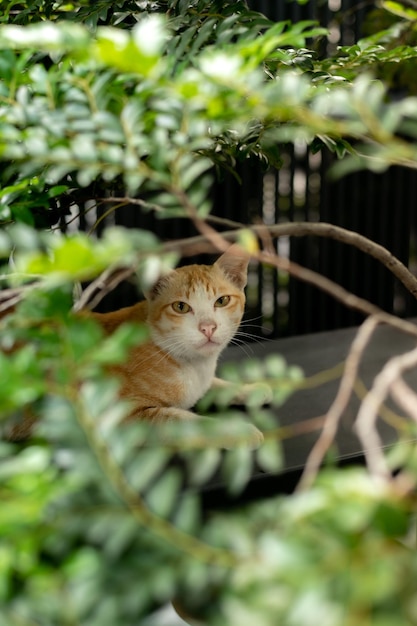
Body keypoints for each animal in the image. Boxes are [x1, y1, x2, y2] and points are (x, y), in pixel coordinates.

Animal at [88, 246, 266, 446]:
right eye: (181, 307)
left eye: (222, 301)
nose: (208, 327)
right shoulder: (124, 416)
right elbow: (188, 421)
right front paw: (239, 431)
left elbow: (216, 385)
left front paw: (251, 389)